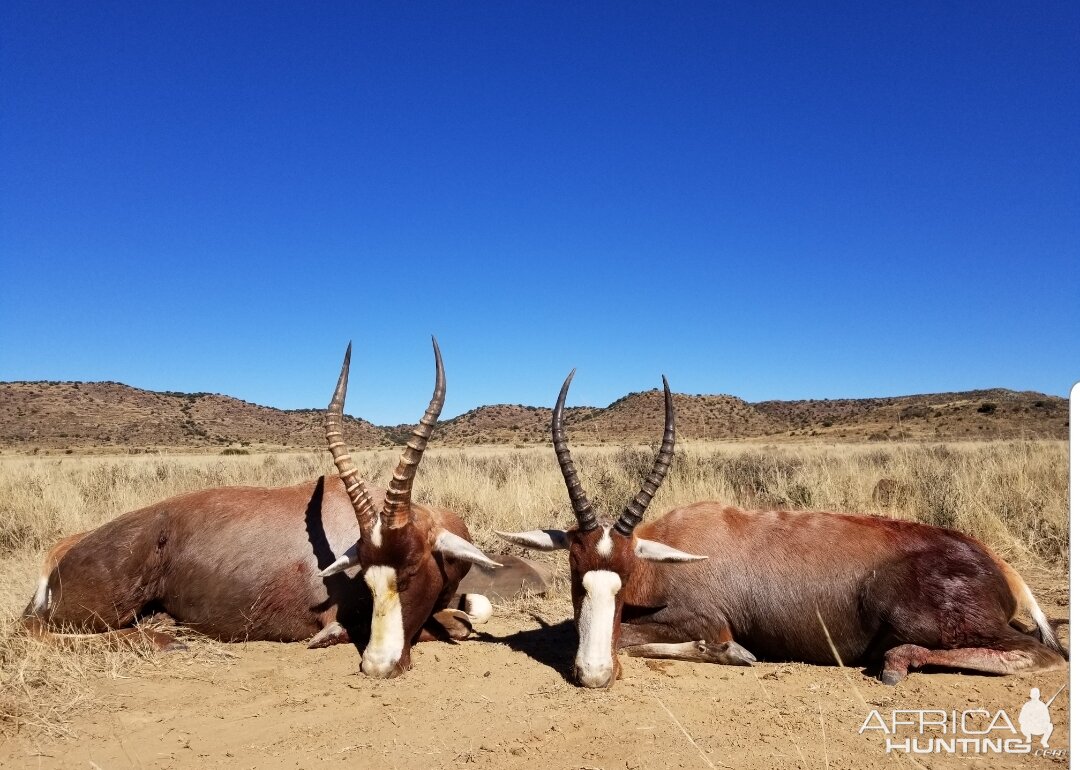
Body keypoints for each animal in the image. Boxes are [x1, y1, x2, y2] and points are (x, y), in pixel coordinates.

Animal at [19, 339, 501, 673]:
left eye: (413, 569)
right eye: (364, 578)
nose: (378, 666)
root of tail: (62, 555)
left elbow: (473, 612)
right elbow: (454, 625)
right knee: (38, 630)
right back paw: (167, 639)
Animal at [498, 371, 1071, 686]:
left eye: (623, 572)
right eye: (577, 575)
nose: (594, 676)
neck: (675, 547)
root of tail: (995, 564)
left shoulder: (705, 620)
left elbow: (647, 637)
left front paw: (733, 653)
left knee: (1043, 653)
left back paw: (895, 664)